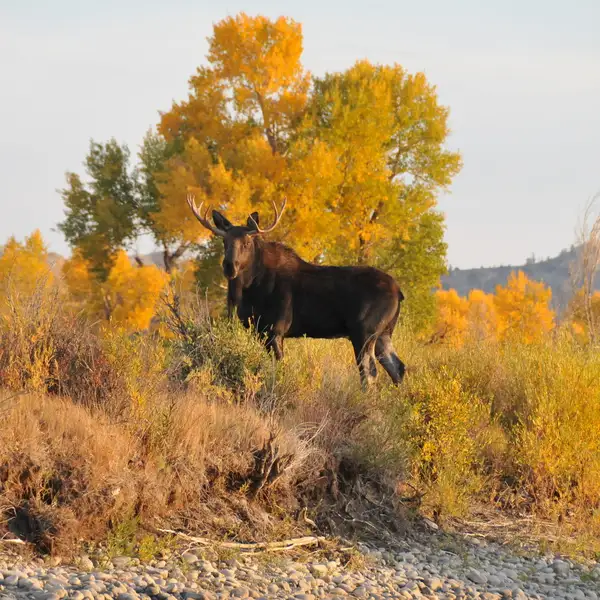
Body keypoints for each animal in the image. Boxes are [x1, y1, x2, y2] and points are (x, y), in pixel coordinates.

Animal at [186, 195, 408, 386]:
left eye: (247, 242)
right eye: (224, 241)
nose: (229, 266)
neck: (247, 291)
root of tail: (399, 292)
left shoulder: (276, 329)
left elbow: (279, 367)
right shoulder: (257, 331)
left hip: (364, 330)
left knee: (369, 372)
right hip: (383, 333)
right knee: (397, 367)